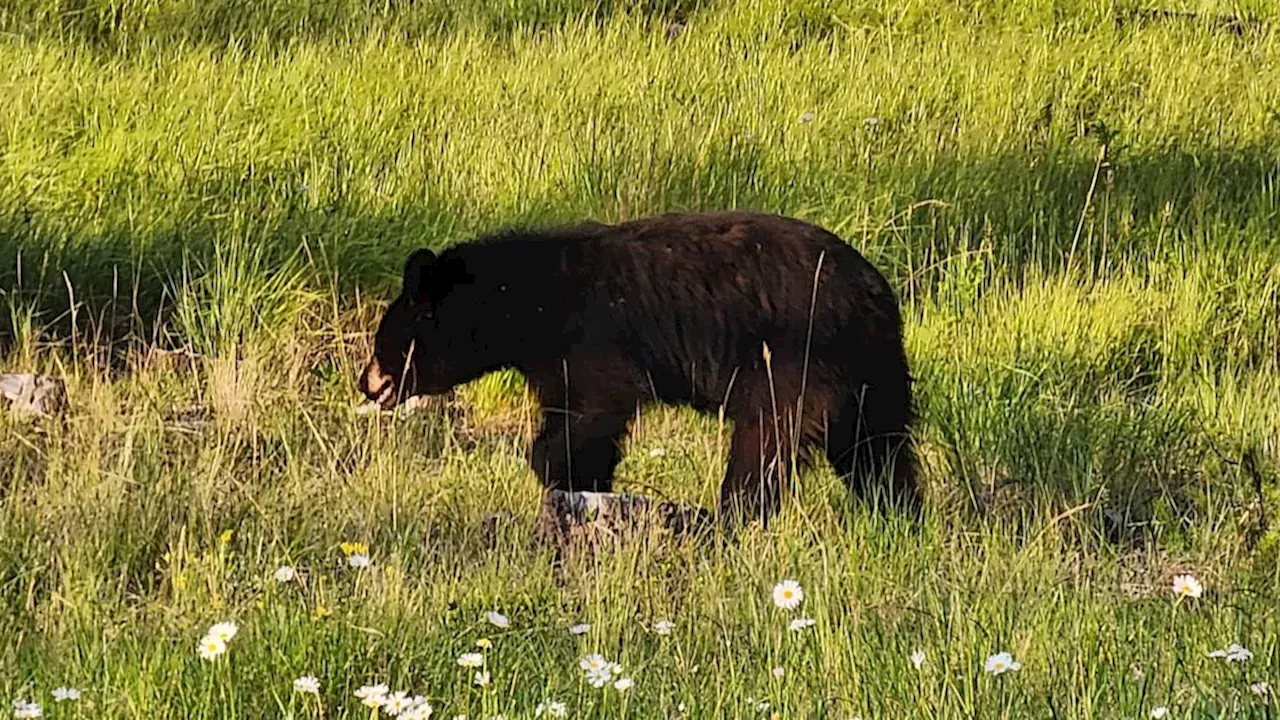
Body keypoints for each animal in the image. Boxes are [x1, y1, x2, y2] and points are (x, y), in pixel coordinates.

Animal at [359, 210, 920, 527]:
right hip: (870, 372)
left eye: (385, 341)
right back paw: (899, 513)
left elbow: (590, 412)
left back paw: (732, 516)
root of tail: (874, 291)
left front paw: (568, 479)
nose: (367, 384)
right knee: (876, 448)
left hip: (794, 361)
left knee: (767, 442)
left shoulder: (591, 339)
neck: (525, 304)